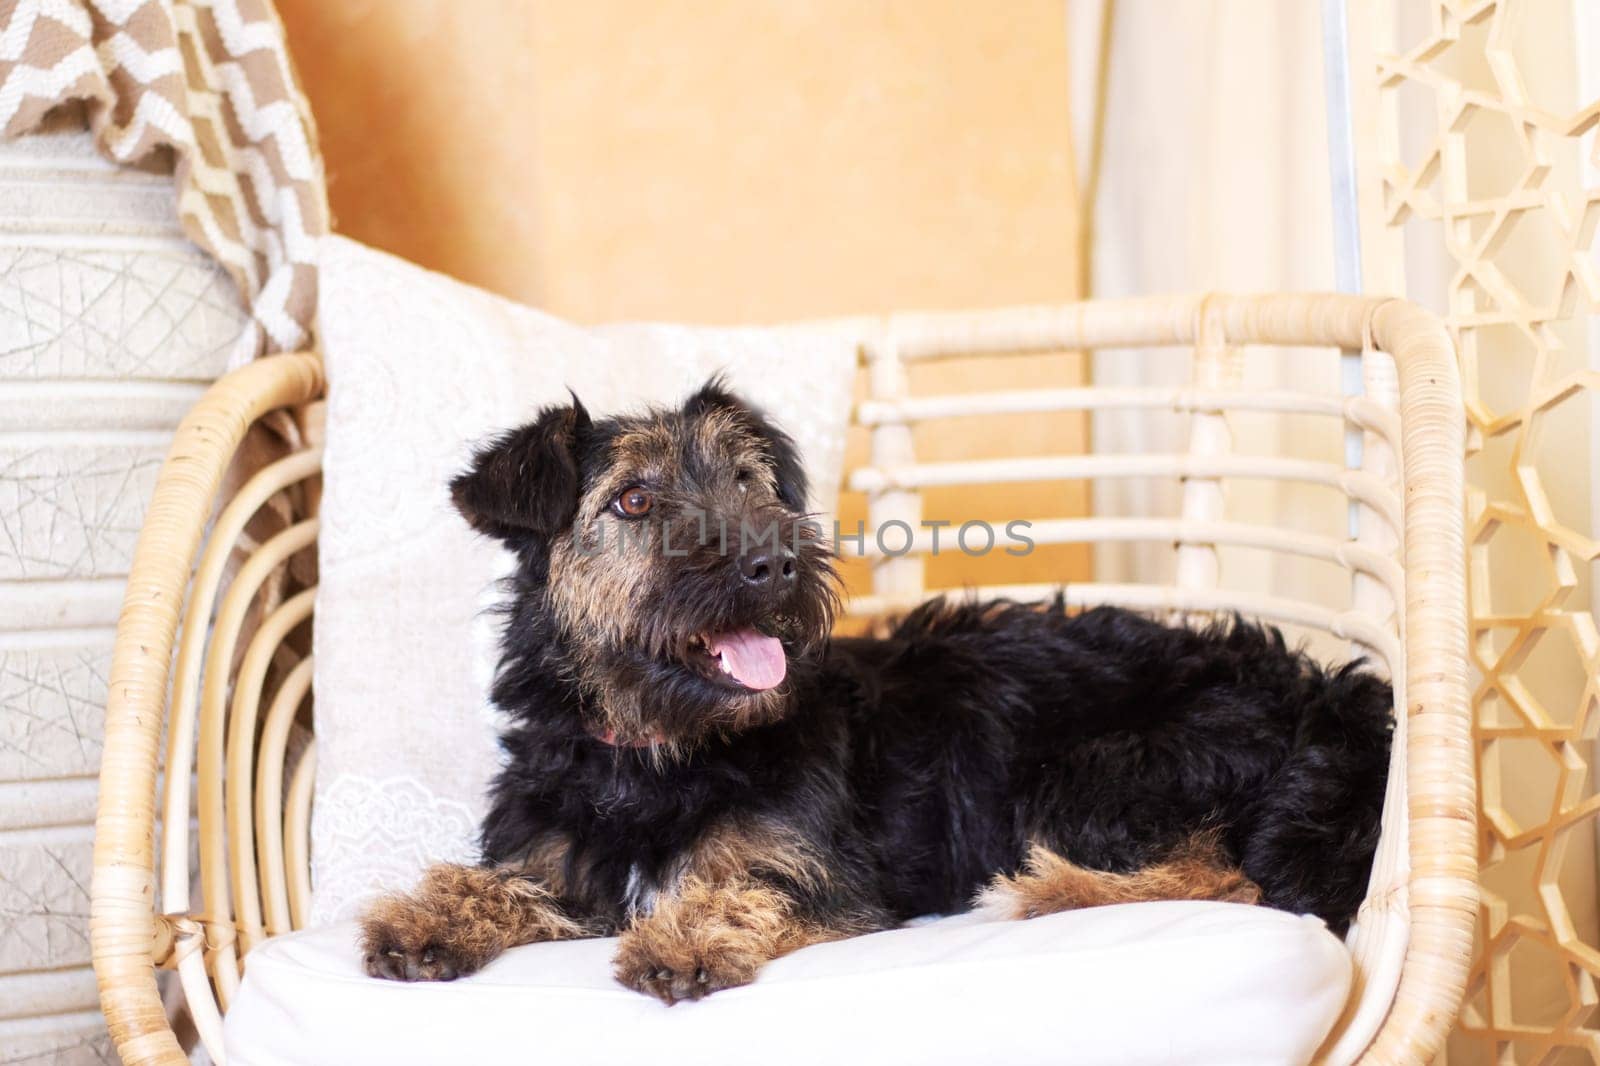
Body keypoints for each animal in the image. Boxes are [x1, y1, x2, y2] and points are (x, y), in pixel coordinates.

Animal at [360, 377, 1388, 998]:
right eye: (635, 500)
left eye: (751, 482)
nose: (775, 562)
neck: (658, 751)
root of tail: (1325, 699)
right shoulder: (556, 858)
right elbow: (499, 879)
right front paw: (424, 915)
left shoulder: (824, 873)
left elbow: (747, 881)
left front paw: (687, 935)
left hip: (1101, 765)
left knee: (1236, 877)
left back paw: (1046, 890)